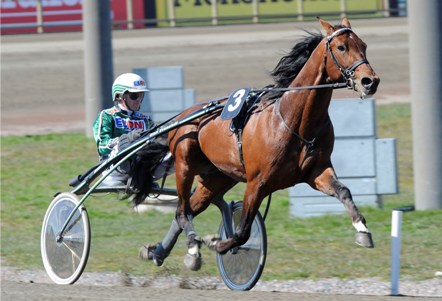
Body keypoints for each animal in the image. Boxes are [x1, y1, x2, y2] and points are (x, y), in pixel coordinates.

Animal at [141, 17, 380, 270]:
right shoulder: (258, 183)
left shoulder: (316, 172)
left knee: (189, 209)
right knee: (182, 212)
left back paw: (160, 252)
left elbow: (344, 191)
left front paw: (362, 230)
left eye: (364, 46)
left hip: (217, 177)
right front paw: (218, 244)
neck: (293, 120)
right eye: (341, 47)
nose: (370, 81)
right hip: (185, 165)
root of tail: (184, 115)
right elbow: (243, 230)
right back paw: (192, 248)